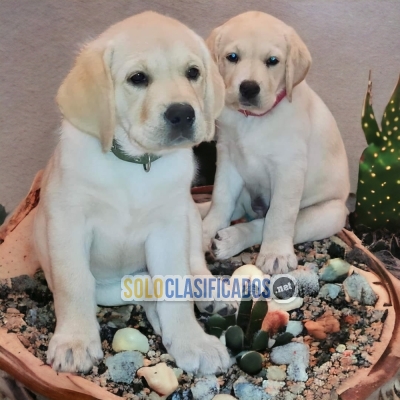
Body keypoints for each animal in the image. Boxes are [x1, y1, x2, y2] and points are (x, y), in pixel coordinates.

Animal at [34, 12, 231, 376]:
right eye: (137, 78)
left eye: (193, 72)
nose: (183, 113)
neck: (138, 164)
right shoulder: (68, 223)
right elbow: (73, 282)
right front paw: (75, 341)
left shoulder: (169, 228)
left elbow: (176, 284)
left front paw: (192, 341)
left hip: (187, 214)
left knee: (193, 264)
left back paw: (211, 293)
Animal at [203, 12, 350, 274]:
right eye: (232, 57)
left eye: (273, 61)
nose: (249, 88)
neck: (252, 119)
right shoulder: (228, 156)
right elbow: (221, 198)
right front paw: (204, 230)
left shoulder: (289, 169)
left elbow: (279, 215)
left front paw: (275, 254)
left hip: (327, 214)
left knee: (265, 223)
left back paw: (231, 239)